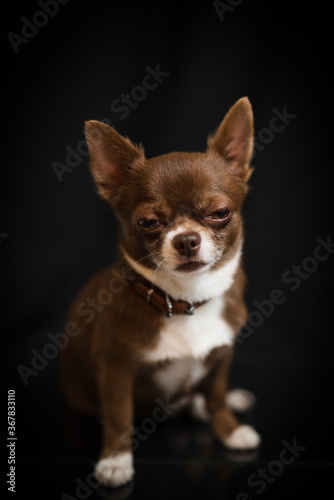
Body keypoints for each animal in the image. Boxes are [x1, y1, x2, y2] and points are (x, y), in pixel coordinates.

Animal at [62, 95, 260, 486]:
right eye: (149, 223)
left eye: (220, 213)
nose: (186, 239)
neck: (186, 301)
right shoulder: (116, 370)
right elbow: (119, 416)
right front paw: (115, 461)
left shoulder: (222, 352)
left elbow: (216, 395)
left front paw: (229, 430)